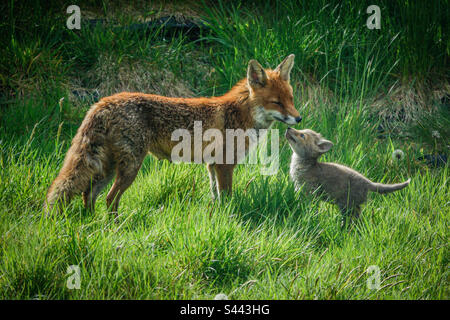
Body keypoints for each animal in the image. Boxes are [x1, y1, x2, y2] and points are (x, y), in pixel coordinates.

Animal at [44, 55, 302, 215]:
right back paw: (113, 228)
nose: (299, 119)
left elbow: (215, 198)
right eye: (277, 103)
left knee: (89, 195)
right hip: (130, 167)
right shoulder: (224, 165)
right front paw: (230, 219)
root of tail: (104, 102)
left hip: (108, 167)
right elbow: (227, 198)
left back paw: (91, 226)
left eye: (290, 99)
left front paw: (218, 219)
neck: (240, 115)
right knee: (109, 199)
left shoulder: (211, 166)